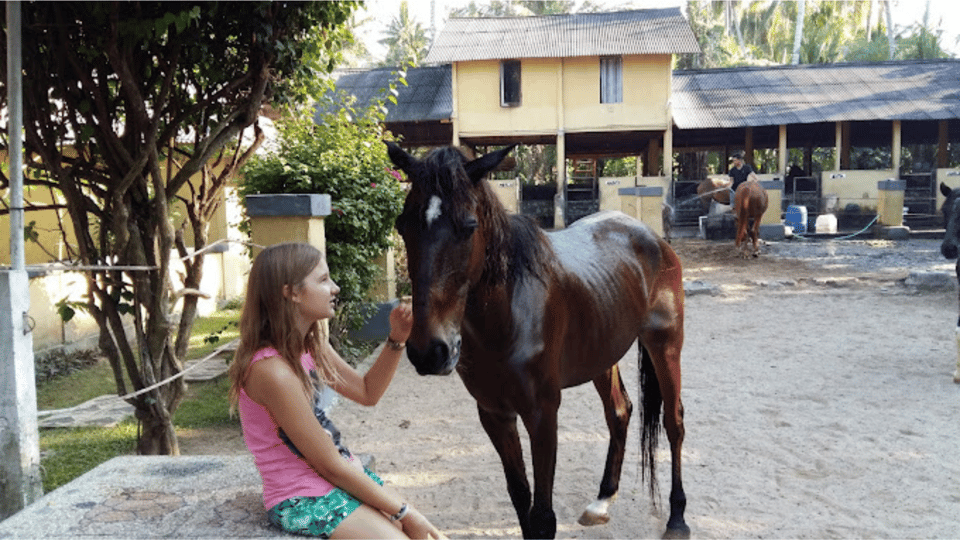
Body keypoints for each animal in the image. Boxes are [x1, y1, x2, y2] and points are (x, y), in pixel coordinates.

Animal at [386, 142, 689, 539]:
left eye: (468, 227)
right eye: (402, 225)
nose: (429, 352)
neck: (506, 319)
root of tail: (650, 236)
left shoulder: (543, 414)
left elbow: (543, 516)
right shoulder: (495, 414)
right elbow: (521, 498)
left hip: (665, 344)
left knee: (674, 422)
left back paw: (677, 517)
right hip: (602, 354)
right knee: (620, 411)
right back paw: (602, 500)